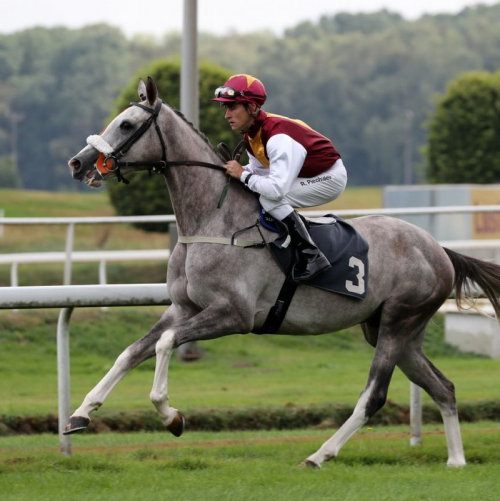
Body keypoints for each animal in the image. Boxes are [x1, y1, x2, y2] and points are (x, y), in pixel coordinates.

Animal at [67, 77, 500, 468]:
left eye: (126, 125)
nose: (78, 162)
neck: (213, 221)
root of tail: (439, 249)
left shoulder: (234, 314)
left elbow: (164, 344)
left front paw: (171, 416)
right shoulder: (183, 308)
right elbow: (132, 351)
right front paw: (80, 414)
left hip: (399, 319)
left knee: (374, 395)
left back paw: (320, 455)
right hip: (394, 329)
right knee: (443, 387)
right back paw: (456, 460)